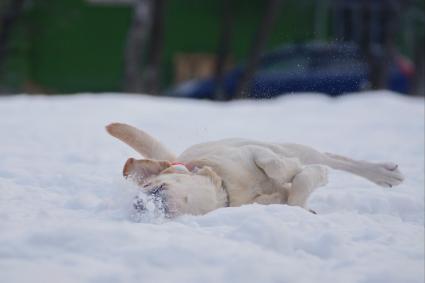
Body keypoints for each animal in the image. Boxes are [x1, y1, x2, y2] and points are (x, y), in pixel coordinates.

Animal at [105, 122, 400, 217]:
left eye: (150, 185)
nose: (138, 203)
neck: (228, 189)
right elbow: (295, 197)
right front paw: (307, 198)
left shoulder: (253, 153)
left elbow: (279, 167)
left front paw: (312, 174)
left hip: (288, 146)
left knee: (331, 158)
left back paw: (386, 173)